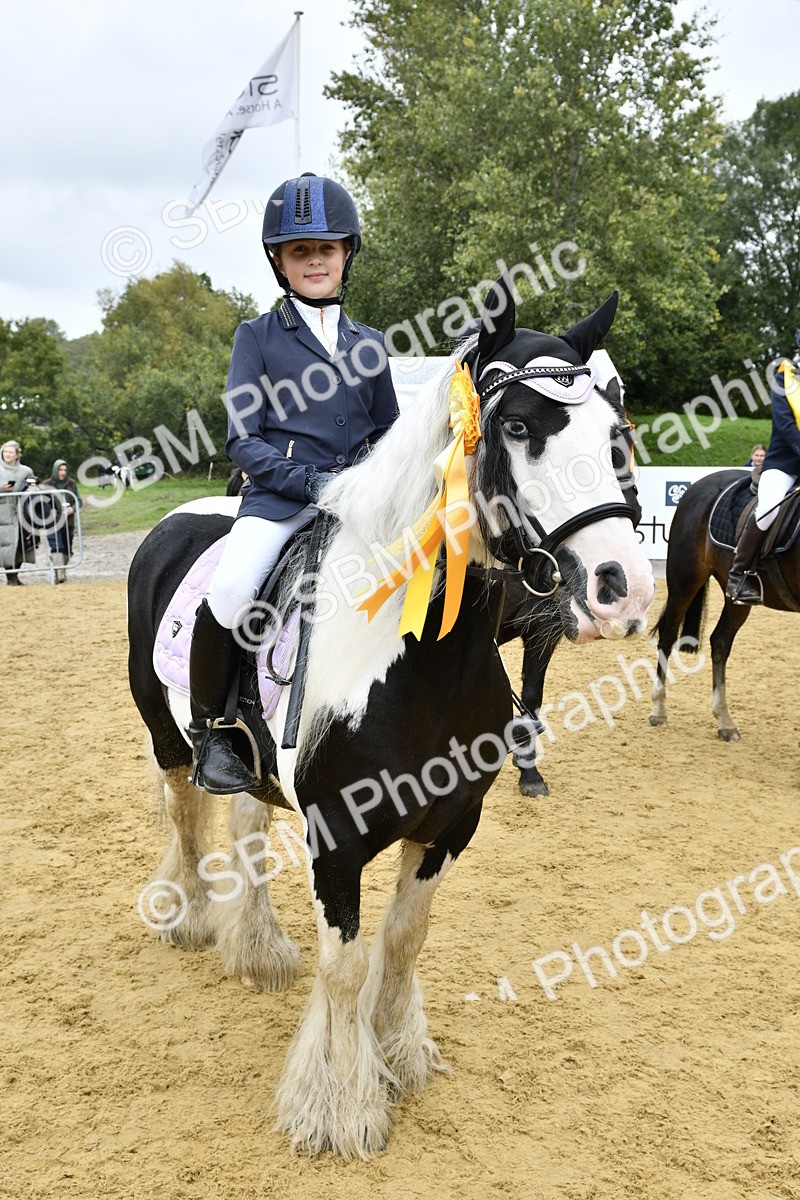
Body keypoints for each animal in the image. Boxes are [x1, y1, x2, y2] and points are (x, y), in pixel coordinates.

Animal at [127, 277, 655, 1160]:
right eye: (518, 427)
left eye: (614, 432)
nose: (623, 587)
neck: (419, 664)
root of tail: (178, 520)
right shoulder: (336, 840)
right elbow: (343, 967)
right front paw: (340, 1105)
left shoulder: (448, 825)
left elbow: (404, 941)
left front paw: (400, 1056)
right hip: (167, 737)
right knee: (187, 818)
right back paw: (195, 921)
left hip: (247, 764)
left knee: (243, 824)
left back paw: (258, 950)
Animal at [649, 467, 800, 739]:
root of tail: (700, 483)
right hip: (684, 582)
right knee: (667, 636)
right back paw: (659, 710)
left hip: (735, 598)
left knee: (720, 641)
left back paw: (725, 721)